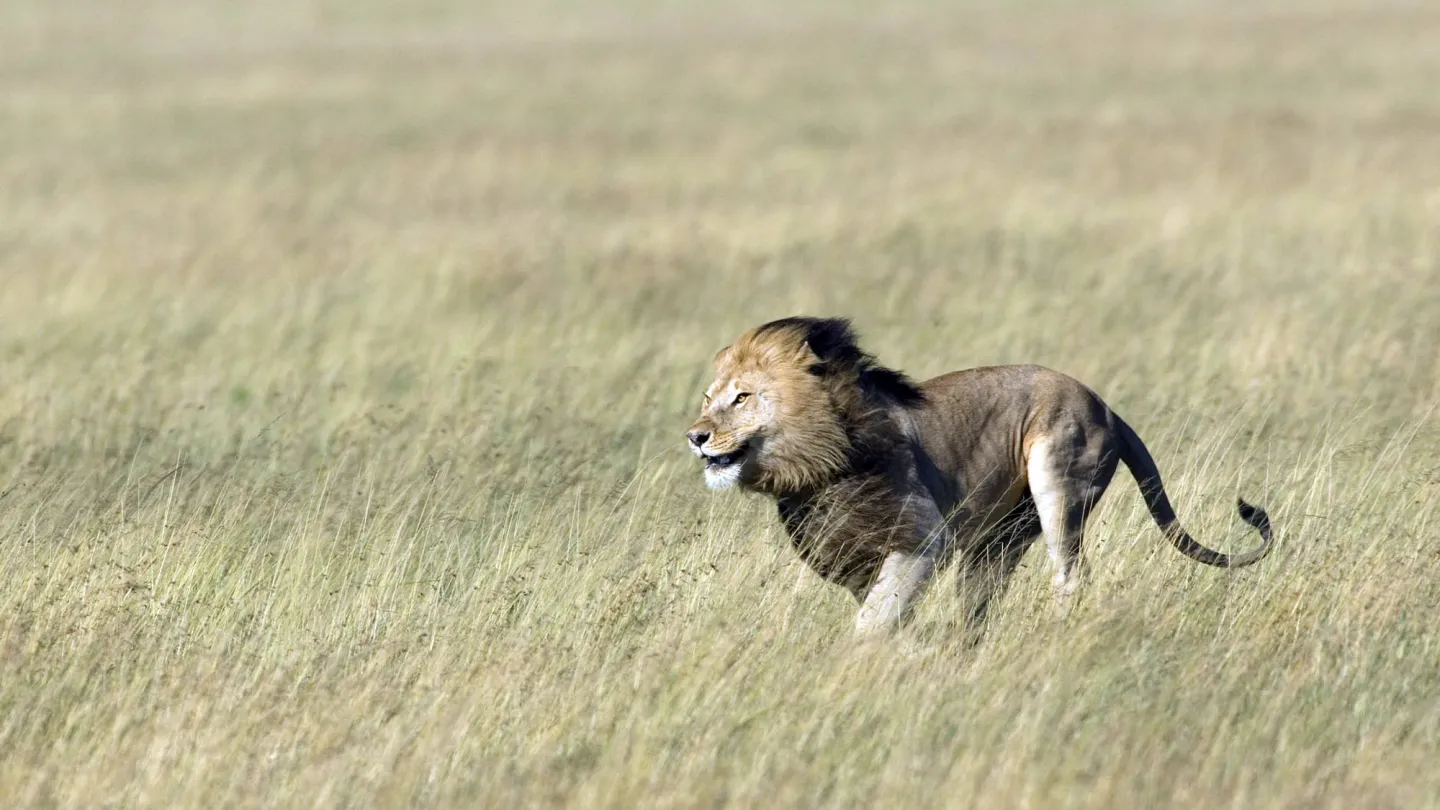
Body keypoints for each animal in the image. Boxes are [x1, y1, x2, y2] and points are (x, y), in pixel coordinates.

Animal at [685, 316, 1273, 638]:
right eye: (708, 398)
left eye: (742, 398)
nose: (695, 436)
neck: (815, 474)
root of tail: (1105, 405)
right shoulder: (853, 563)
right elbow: (887, 613)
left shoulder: (924, 539)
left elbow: (874, 621)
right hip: (998, 538)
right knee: (982, 601)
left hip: (1059, 478)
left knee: (1071, 574)